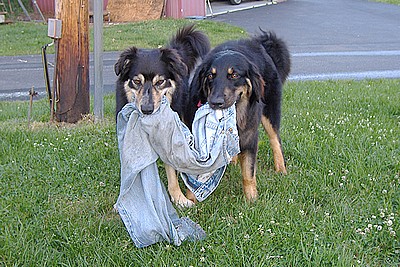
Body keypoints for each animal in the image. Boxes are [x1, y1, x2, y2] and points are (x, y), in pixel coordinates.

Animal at [186, 30, 290, 203]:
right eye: (210, 76)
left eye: (234, 75)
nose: (215, 102)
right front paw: (190, 200)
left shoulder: (250, 138)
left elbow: (248, 173)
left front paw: (252, 199)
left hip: (270, 112)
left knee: (275, 140)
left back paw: (281, 168)